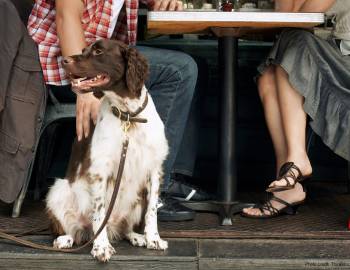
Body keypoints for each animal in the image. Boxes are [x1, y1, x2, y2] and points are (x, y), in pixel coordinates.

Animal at [45, 40, 169, 262]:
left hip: (138, 199)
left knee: (125, 228)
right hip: (58, 190)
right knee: (71, 229)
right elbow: (100, 212)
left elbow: (152, 210)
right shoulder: (100, 170)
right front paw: (101, 246)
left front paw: (153, 238)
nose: (64, 60)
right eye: (84, 50)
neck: (128, 116)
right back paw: (65, 239)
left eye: (98, 51)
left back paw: (137, 236)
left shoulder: (155, 169)